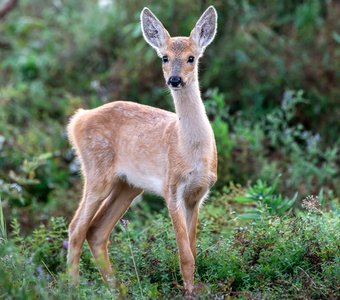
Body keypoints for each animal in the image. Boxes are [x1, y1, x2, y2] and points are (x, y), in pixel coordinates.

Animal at [67, 5, 218, 294]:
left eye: (191, 58)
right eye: (165, 57)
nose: (174, 80)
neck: (191, 151)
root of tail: (77, 120)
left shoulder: (198, 194)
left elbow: (194, 249)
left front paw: (194, 290)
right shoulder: (172, 189)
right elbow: (185, 255)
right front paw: (188, 293)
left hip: (128, 185)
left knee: (97, 231)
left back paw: (118, 290)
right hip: (97, 172)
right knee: (76, 228)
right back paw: (74, 289)